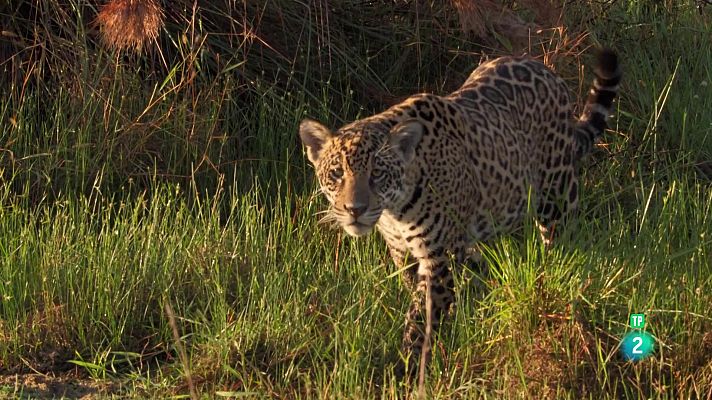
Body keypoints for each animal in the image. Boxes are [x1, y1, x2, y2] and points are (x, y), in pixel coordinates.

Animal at [298, 48, 621, 374]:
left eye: (377, 174)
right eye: (337, 173)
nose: (355, 209)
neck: (394, 211)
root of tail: (547, 71)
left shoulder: (438, 259)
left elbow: (420, 319)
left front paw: (409, 366)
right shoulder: (404, 256)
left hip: (558, 196)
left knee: (563, 246)